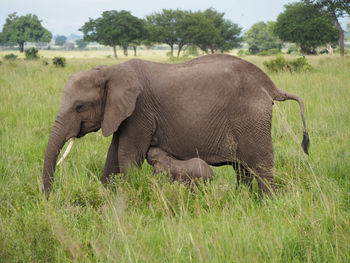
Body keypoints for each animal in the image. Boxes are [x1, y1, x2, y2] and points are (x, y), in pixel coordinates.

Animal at [41, 54, 308, 194]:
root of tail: (270, 86)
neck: (110, 71)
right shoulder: (123, 114)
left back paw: (266, 204)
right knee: (243, 168)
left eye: (79, 107)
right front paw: (107, 195)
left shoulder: (140, 112)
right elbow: (113, 154)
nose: (49, 199)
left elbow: (128, 155)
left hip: (252, 118)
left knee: (259, 164)